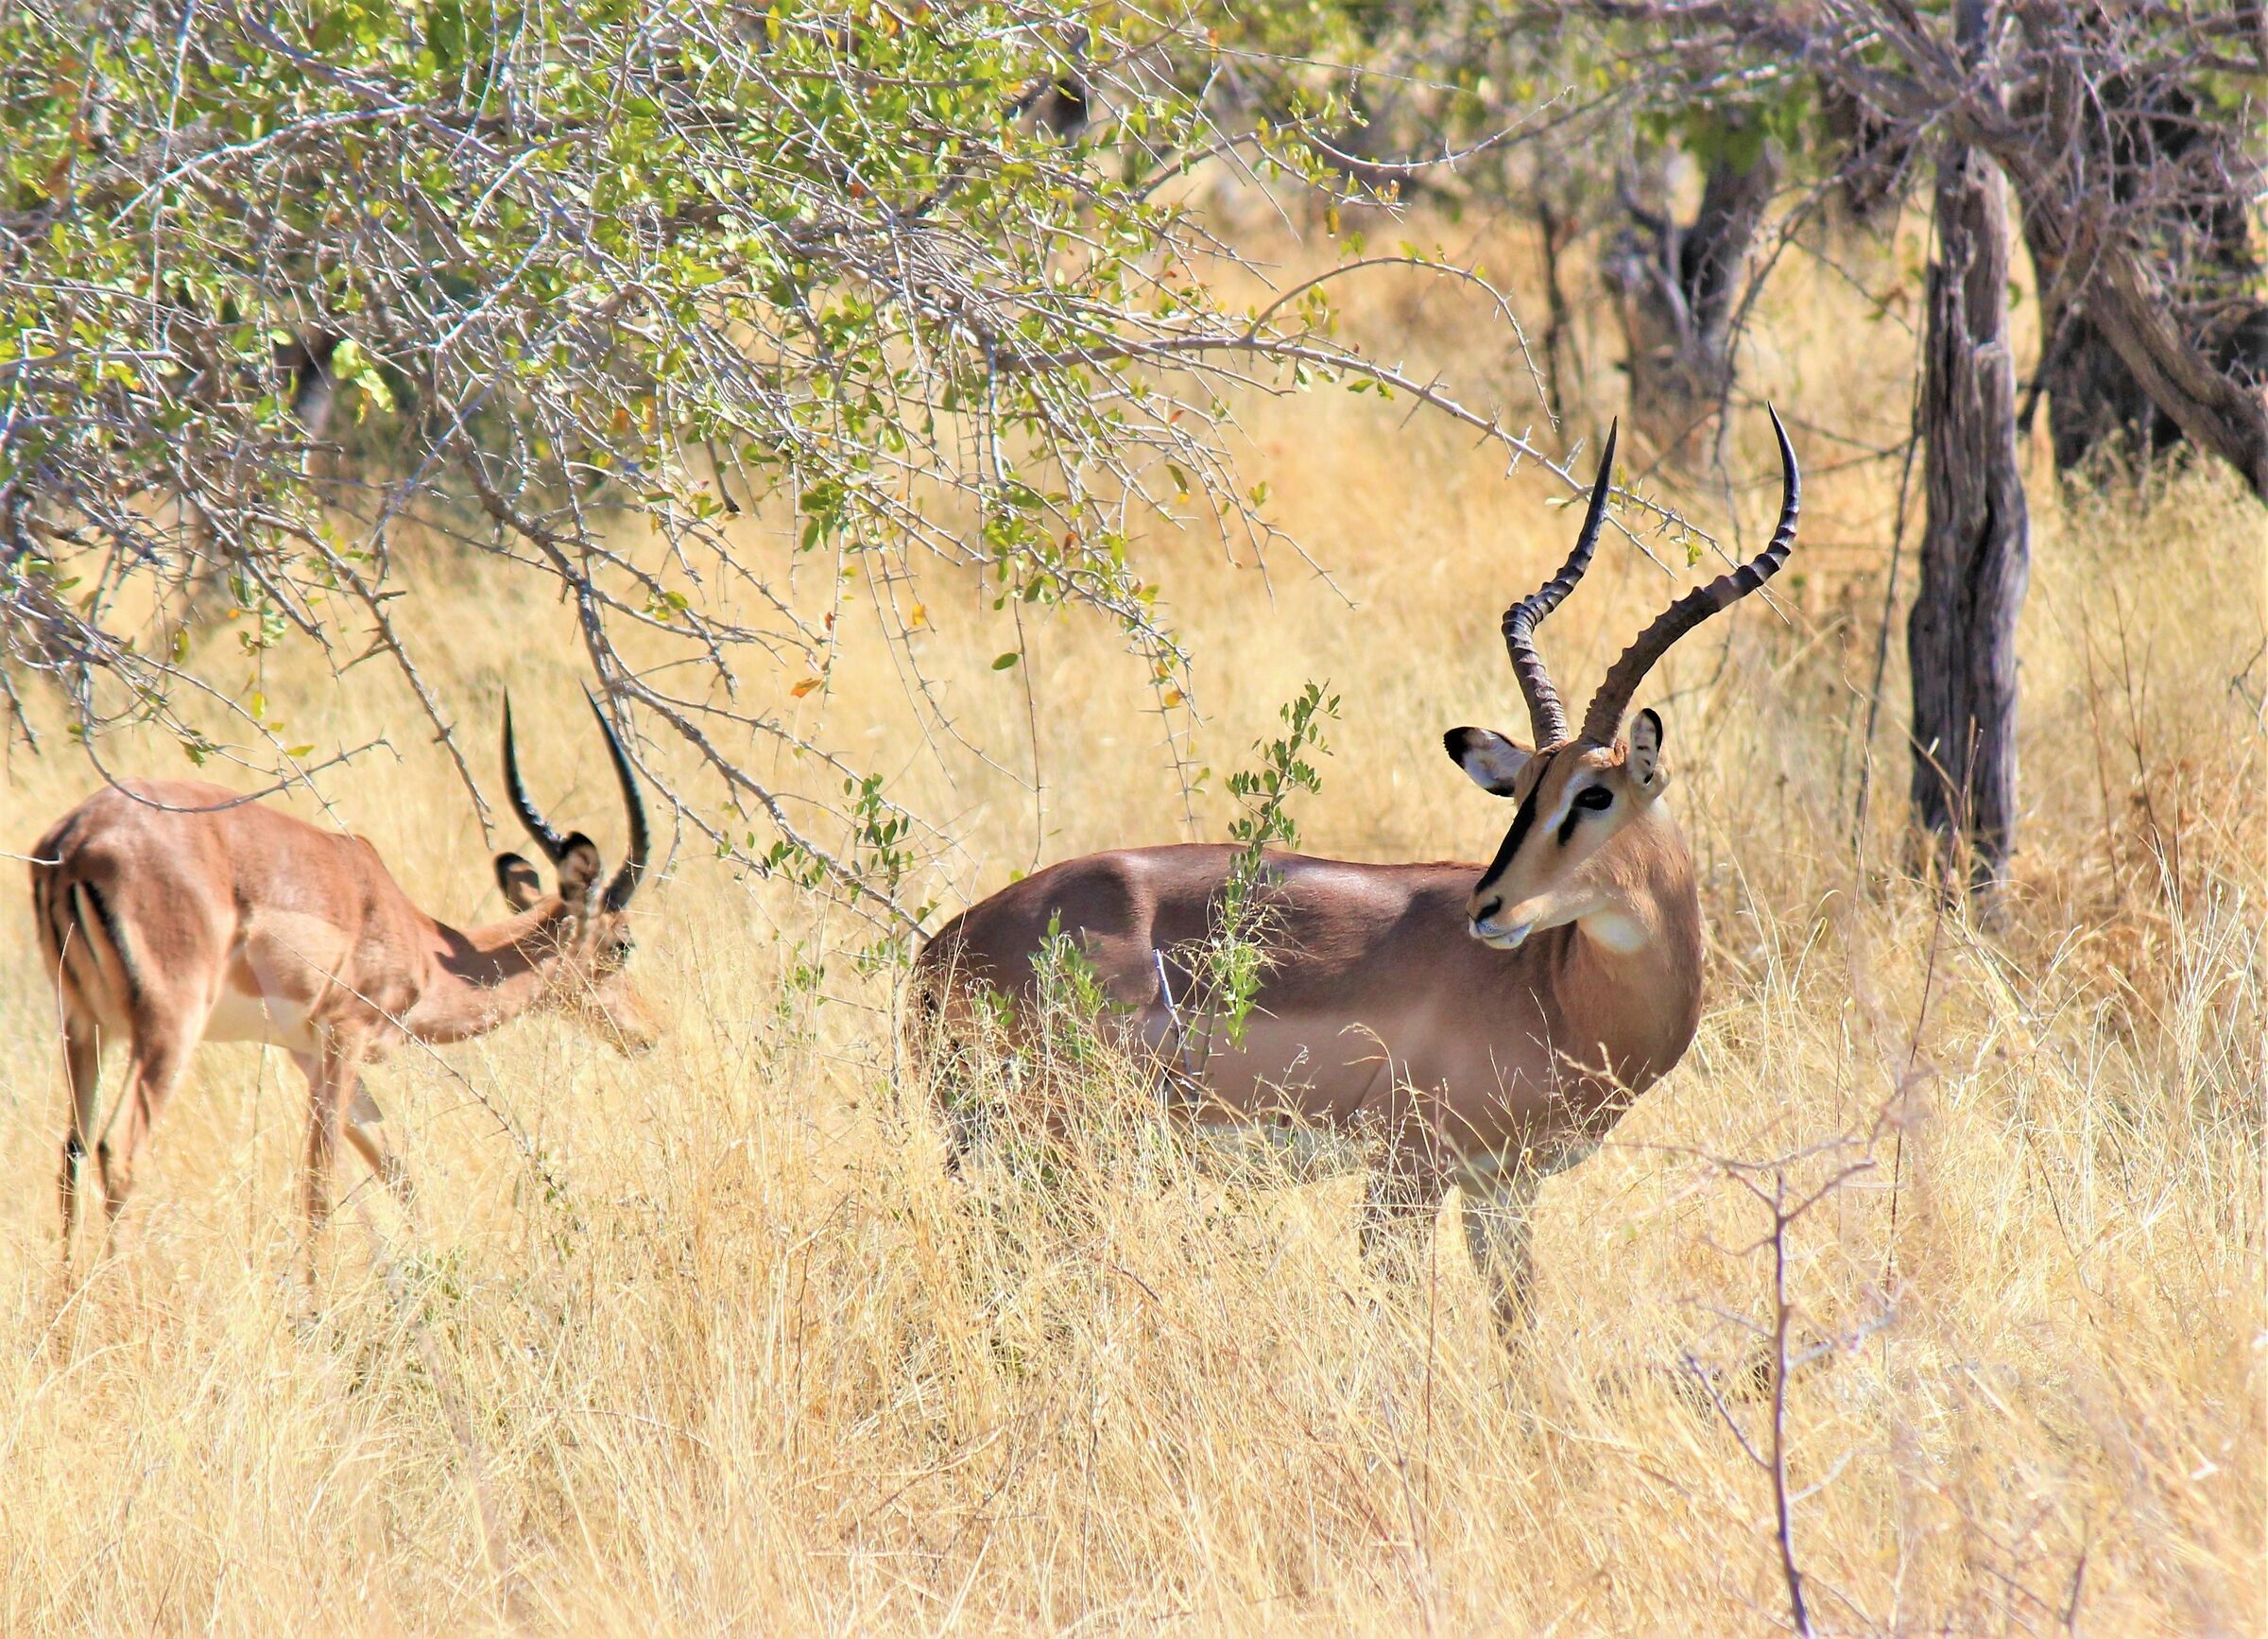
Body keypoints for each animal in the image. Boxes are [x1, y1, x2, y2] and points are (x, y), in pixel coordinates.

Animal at [30, 692, 656, 1253]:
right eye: (624, 944)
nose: (648, 1033)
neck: (422, 944)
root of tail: (75, 842)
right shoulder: (345, 1037)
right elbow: (322, 1186)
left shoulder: (306, 1052)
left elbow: (398, 1172)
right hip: (167, 1029)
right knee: (118, 1150)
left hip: (84, 1026)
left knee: (71, 1154)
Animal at [915, 412, 1799, 1333]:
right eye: (1526, 788)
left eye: (1593, 793)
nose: (1488, 908)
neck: (1558, 993)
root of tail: (945, 948)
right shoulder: (1407, 1173)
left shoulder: (1504, 1189)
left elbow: (1517, 1326)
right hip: (1064, 1145)